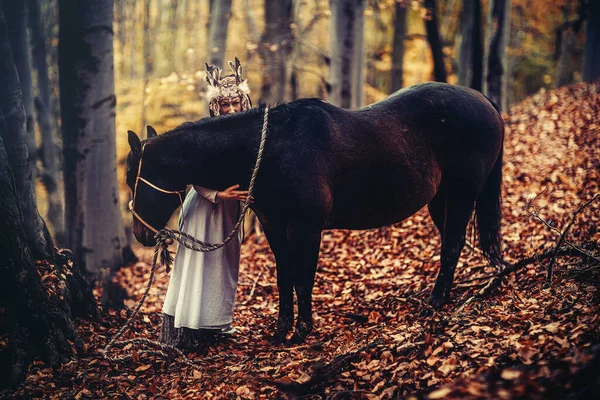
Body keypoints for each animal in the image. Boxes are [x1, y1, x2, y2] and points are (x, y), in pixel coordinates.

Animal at [126, 81, 506, 344]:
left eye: (133, 177)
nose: (140, 234)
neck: (274, 149)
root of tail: (484, 100)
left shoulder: (306, 228)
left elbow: (303, 278)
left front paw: (303, 330)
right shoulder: (274, 226)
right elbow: (284, 277)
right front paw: (282, 329)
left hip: (462, 194)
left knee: (453, 243)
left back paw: (437, 300)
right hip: (440, 200)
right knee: (452, 242)